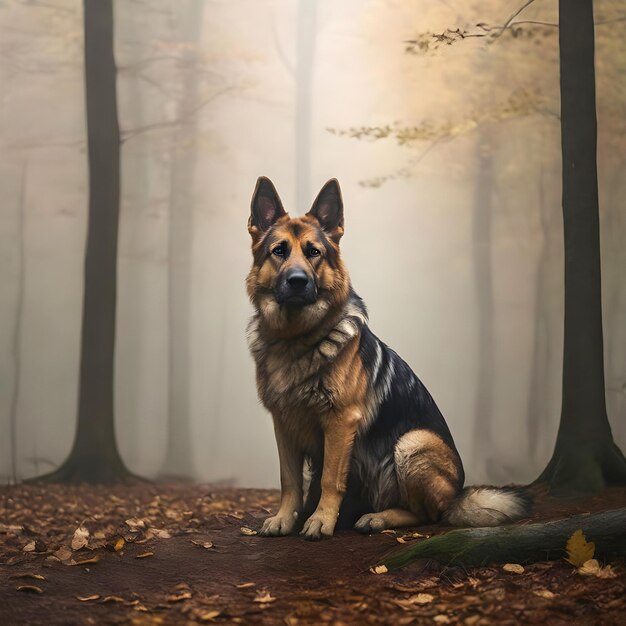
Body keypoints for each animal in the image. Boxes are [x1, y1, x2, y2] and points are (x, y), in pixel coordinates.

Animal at [244, 178, 528, 540]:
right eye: (279, 251)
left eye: (314, 252)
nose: (297, 281)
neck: (295, 339)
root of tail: (458, 493)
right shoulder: (283, 424)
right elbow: (289, 479)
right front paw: (284, 518)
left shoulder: (341, 420)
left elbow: (329, 479)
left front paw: (320, 520)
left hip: (412, 443)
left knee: (429, 515)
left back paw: (379, 517)